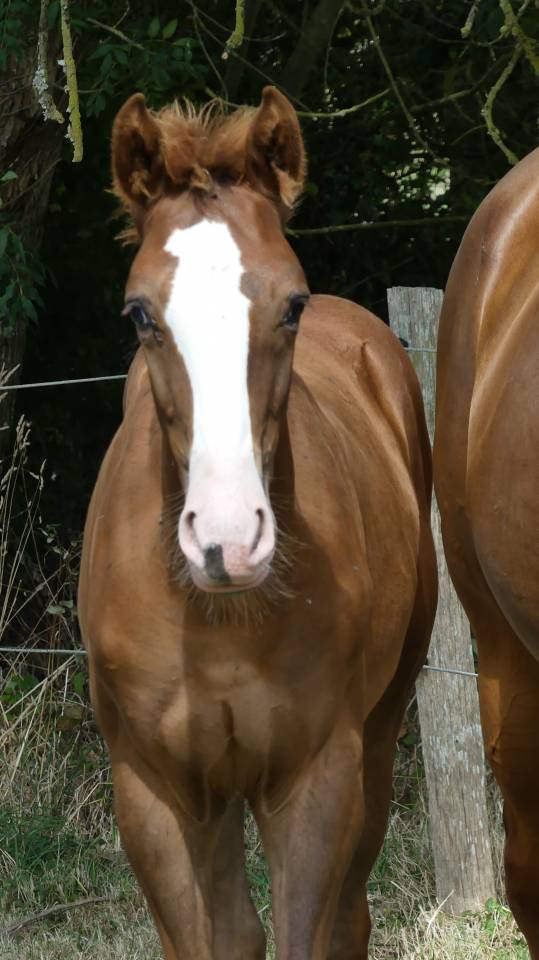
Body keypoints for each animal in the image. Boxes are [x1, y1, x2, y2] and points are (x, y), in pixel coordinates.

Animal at [78, 86, 437, 960]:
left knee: (351, 915)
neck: (220, 620)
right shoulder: (157, 796)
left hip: (379, 733)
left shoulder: (314, 781)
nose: (228, 542)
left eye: (291, 303)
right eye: (139, 313)